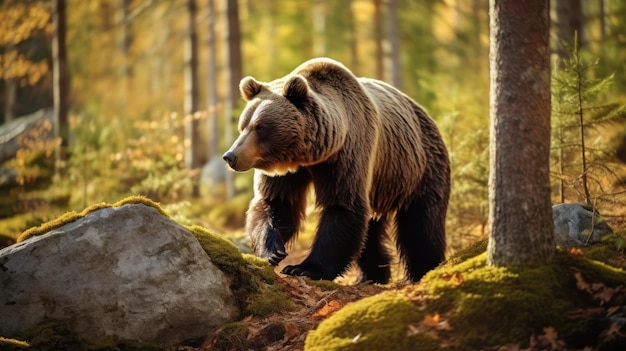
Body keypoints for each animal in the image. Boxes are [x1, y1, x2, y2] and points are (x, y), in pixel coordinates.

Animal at [224, 57, 448, 284]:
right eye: (243, 126)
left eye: (260, 127)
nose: (230, 156)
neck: (310, 155)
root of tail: (424, 113)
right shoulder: (288, 172)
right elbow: (276, 202)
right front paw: (273, 251)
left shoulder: (347, 154)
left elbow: (342, 206)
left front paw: (303, 268)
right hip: (381, 183)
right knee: (371, 228)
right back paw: (372, 275)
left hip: (418, 167)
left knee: (421, 224)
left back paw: (425, 270)